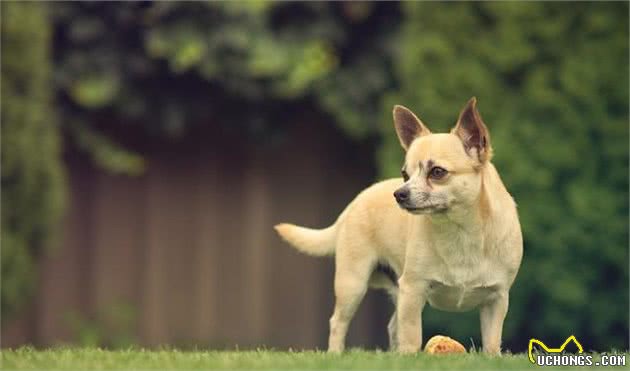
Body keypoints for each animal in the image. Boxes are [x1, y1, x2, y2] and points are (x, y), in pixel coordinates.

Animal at [276, 98, 524, 354]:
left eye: (437, 172)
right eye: (405, 174)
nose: (399, 193)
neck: (460, 231)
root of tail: (356, 201)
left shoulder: (496, 300)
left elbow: (492, 343)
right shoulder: (413, 290)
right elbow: (412, 336)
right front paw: (410, 356)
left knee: (393, 327)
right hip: (353, 284)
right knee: (339, 322)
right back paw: (336, 354)